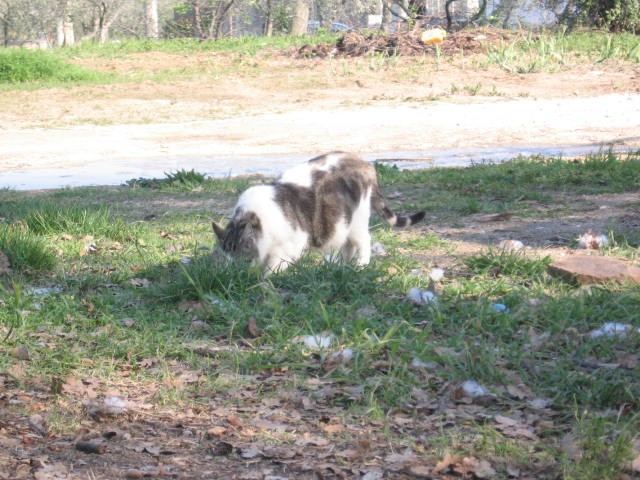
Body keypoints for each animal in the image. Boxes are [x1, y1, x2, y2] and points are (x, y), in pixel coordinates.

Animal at [212, 153, 428, 274]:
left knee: (363, 240)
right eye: (223, 259)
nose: (234, 272)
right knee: (347, 245)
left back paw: (361, 264)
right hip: (342, 223)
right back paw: (342, 266)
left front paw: (267, 278)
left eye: (242, 257)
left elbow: (274, 266)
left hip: (357, 219)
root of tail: (365, 163)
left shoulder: (289, 246)